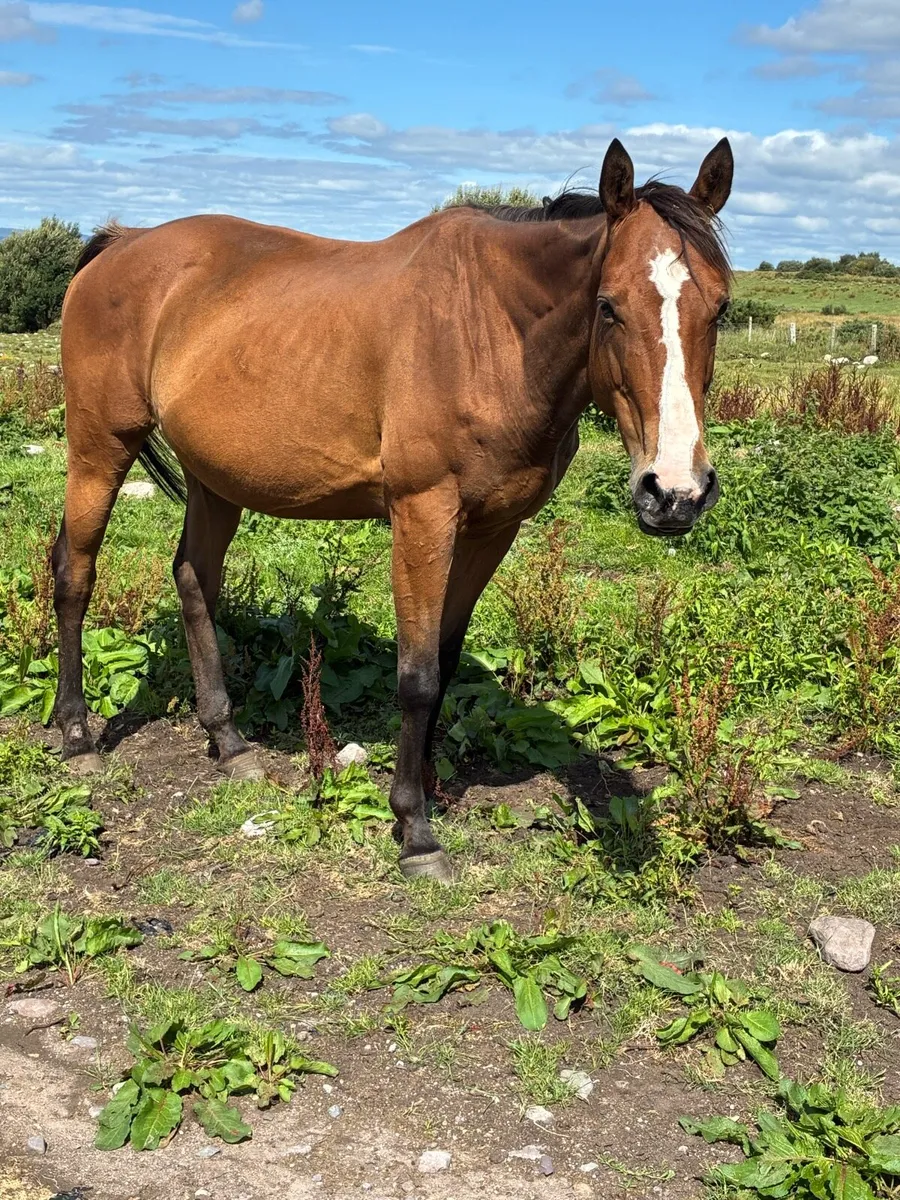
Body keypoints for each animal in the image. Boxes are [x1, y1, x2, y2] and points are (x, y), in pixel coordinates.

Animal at [53, 137, 733, 882]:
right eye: (608, 306)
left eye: (721, 309)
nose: (674, 491)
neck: (488, 333)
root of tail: (123, 243)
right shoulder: (422, 516)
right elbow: (417, 675)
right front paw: (414, 829)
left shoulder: (493, 528)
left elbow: (447, 656)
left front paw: (431, 787)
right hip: (100, 446)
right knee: (75, 573)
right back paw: (77, 736)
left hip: (215, 479)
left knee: (194, 579)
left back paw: (228, 741)